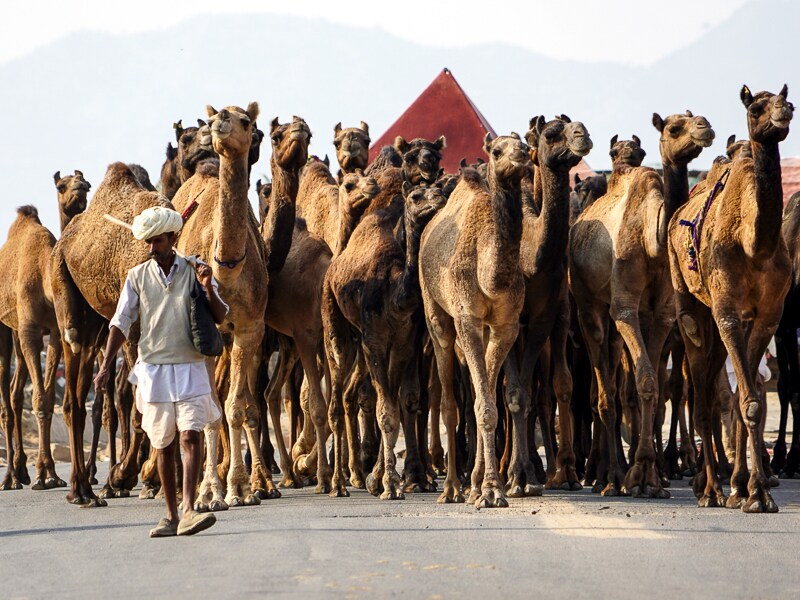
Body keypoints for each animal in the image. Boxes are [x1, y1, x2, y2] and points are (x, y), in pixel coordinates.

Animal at [172, 106, 310, 506]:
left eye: (250, 124)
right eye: (216, 115)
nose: (216, 124)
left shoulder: (250, 331)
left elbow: (238, 407)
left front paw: (240, 487)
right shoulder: (206, 336)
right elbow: (211, 409)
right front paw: (209, 492)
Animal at [568, 108, 712, 496]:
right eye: (674, 128)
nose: (705, 127)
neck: (653, 239)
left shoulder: (660, 315)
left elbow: (650, 386)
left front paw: (649, 474)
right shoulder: (624, 308)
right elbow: (645, 381)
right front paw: (636, 475)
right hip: (586, 304)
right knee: (603, 388)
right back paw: (606, 476)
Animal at [668, 86, 792, 512]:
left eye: (788, 99)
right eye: (755, 108)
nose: (785, 111)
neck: (753, 244)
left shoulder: (767, 314)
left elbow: (747, 400)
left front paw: (753, 490)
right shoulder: (726, 312)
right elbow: (745, 400)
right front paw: (750, 493)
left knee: (717, 389)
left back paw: (726, 484)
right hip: (691, 309)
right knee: (700, 393)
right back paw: (708, 490)